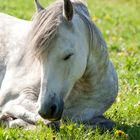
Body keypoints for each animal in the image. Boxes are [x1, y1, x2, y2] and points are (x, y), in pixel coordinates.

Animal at [0, 0, 118, 129]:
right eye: (38, 58)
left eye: (68, 55)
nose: (45, 110)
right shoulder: (14, 99)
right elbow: (50, 122)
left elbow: (106, 123)